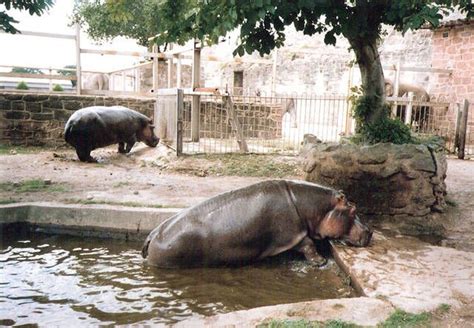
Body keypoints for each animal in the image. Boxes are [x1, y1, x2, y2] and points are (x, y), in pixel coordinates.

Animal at [143, 179, 372, 270]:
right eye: (353, 209)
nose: (370, 231)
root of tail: (151, 236)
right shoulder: (292, 234)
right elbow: (308, 244)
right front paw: (320, 262)